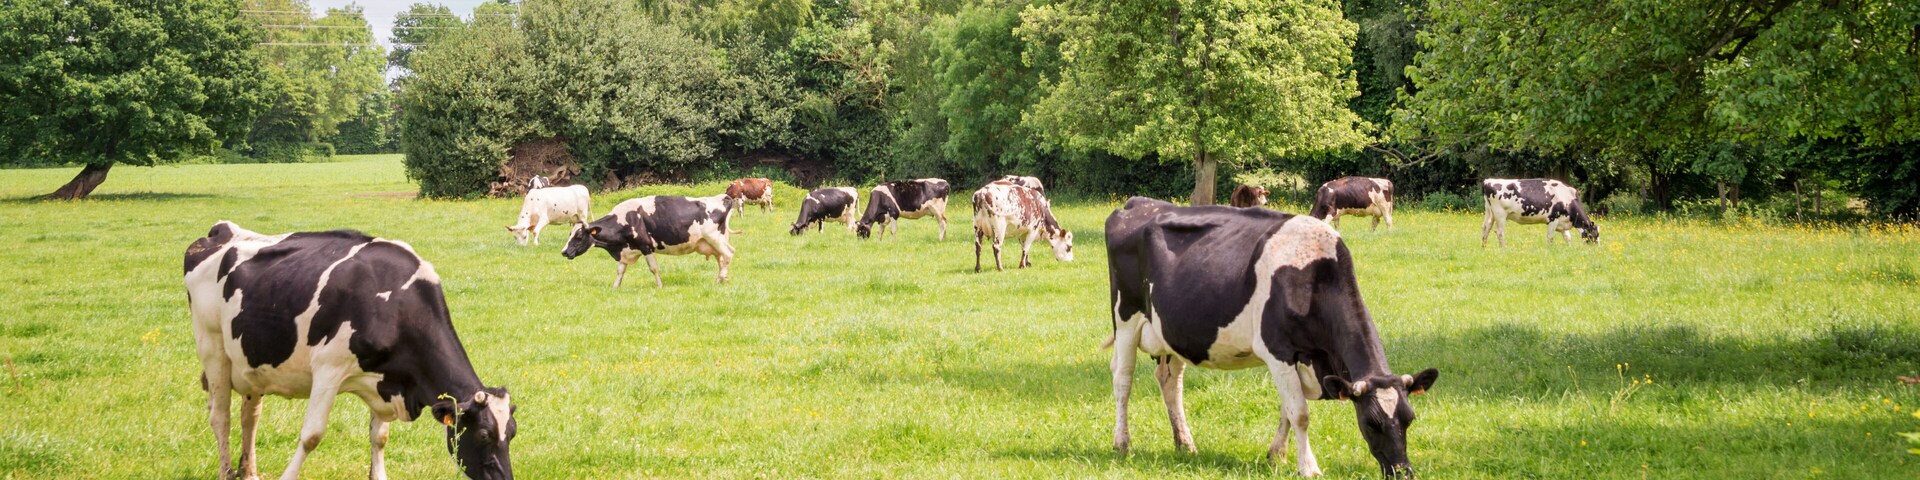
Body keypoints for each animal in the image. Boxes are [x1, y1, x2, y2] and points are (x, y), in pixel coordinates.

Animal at [184, 222, 517, 480]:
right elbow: (311, 436)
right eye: (484, 434)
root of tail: (220, 231)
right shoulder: (328, 368)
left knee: (249, 417)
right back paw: (226, 471)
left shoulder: (387, 378)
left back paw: (249, 472)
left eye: (512, 432)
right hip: (212, 346)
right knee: (221, 417)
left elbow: (379, 438)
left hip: (250, 362)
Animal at [561, 194, 735, 287]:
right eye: (570, 234)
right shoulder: (626, 250)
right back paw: (722, 279)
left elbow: (653, 268)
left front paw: (659, 286)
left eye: (579, 236)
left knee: (728, 255)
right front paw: (615, 286)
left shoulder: (646, 246)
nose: (564, 252)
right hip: (712, 242)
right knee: (722, 258)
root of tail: (722, 197)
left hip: (714, 238)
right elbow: (620, 270)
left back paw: (720, 279)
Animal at [1104, 197, 1440, 478]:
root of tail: (1138, 204)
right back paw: (1122, 443)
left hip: (1172, 332)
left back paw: (1185, 444)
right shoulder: (1278, 350)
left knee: (1170, 381)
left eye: (1409, 418)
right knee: (1123, 379)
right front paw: (1309, 468)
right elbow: (1300, 413)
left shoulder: (1302, 359)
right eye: (1371, 422)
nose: (1403, 472)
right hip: (1126, 319)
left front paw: (1276, 455)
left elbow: (1287, 410)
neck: (1314, 275)